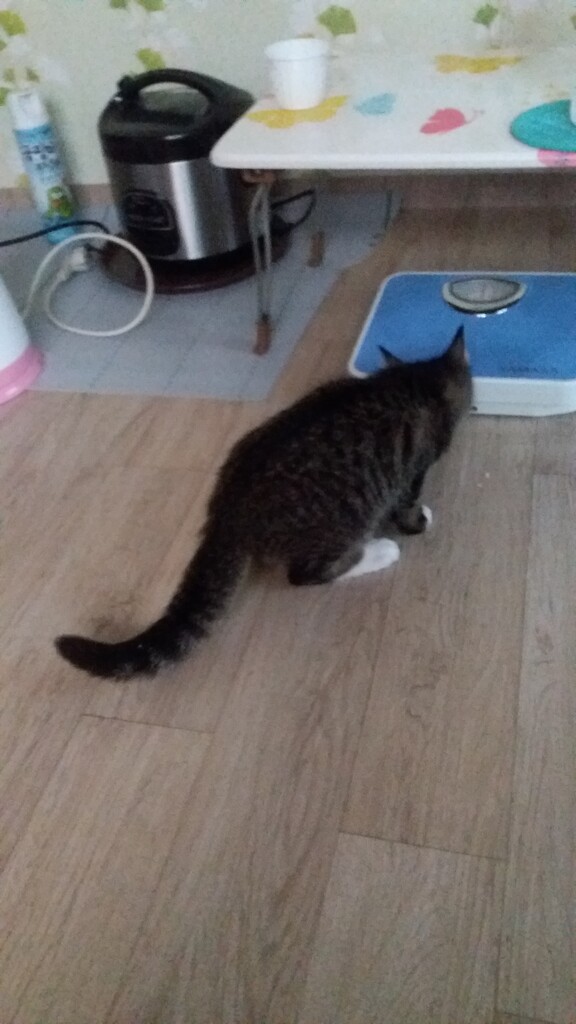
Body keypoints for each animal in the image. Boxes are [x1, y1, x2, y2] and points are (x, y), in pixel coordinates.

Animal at [56, 325, 472, 681]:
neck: (413, 381)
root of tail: (226, 514)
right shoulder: (412, 472)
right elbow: (408, 505)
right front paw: (419, 521)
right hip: (340, 523)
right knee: (307, 574)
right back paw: (378, 551)